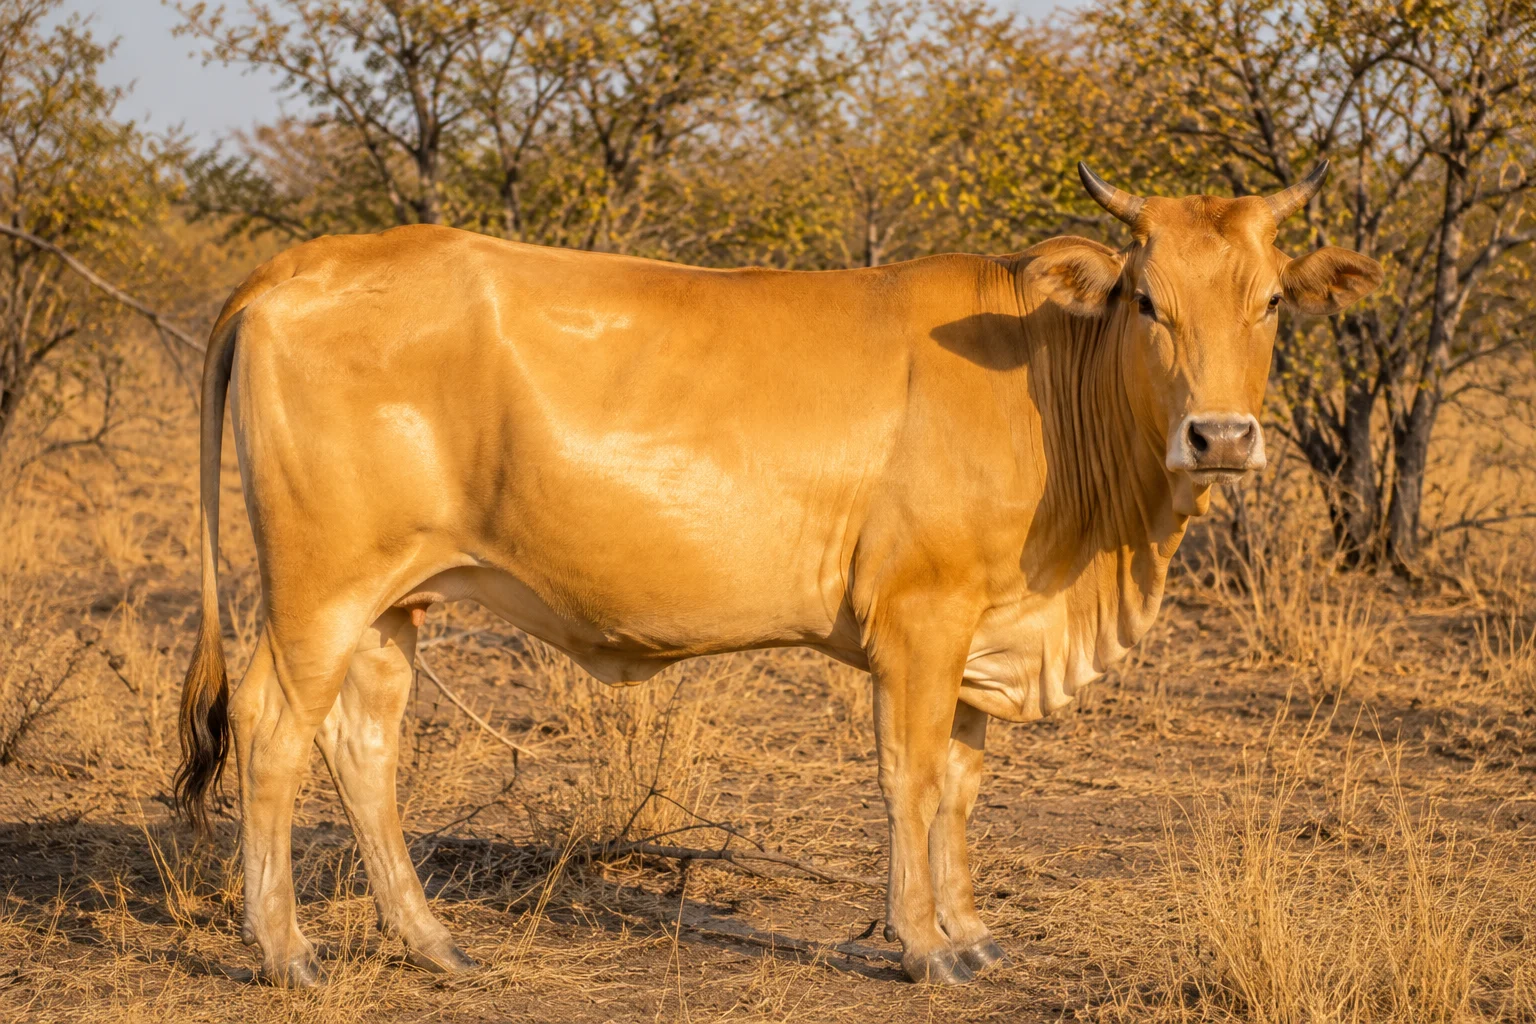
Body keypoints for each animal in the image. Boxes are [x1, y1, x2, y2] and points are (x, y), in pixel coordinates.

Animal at [175, 163, 1382, 987]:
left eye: (1272, 301)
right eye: (1146, 299)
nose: (1220, 438)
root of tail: (300, 265)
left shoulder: (985, 626)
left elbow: (962, 781)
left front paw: (973, 931)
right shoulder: (921, 622)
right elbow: (910, 778)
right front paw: (923, 945)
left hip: (393, 601)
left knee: (363, 744)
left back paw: (429, 938)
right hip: (318, 592)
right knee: (276, 730)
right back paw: (285, 949)